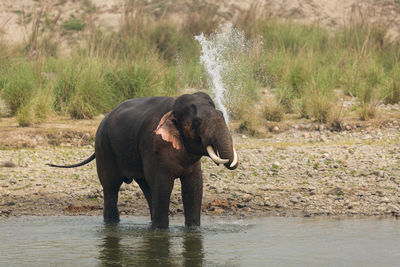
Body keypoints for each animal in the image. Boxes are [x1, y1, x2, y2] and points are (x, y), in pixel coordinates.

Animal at [48, 93, 239, 229]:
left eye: (222, 114)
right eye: (197, 122)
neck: (173, 109)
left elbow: (194, 186)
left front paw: (193, 230)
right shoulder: (154, 146)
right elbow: (163, 185)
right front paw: (161, 231)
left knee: (146, 187)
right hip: (104, 148)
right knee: (111, 188)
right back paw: (112, 224)